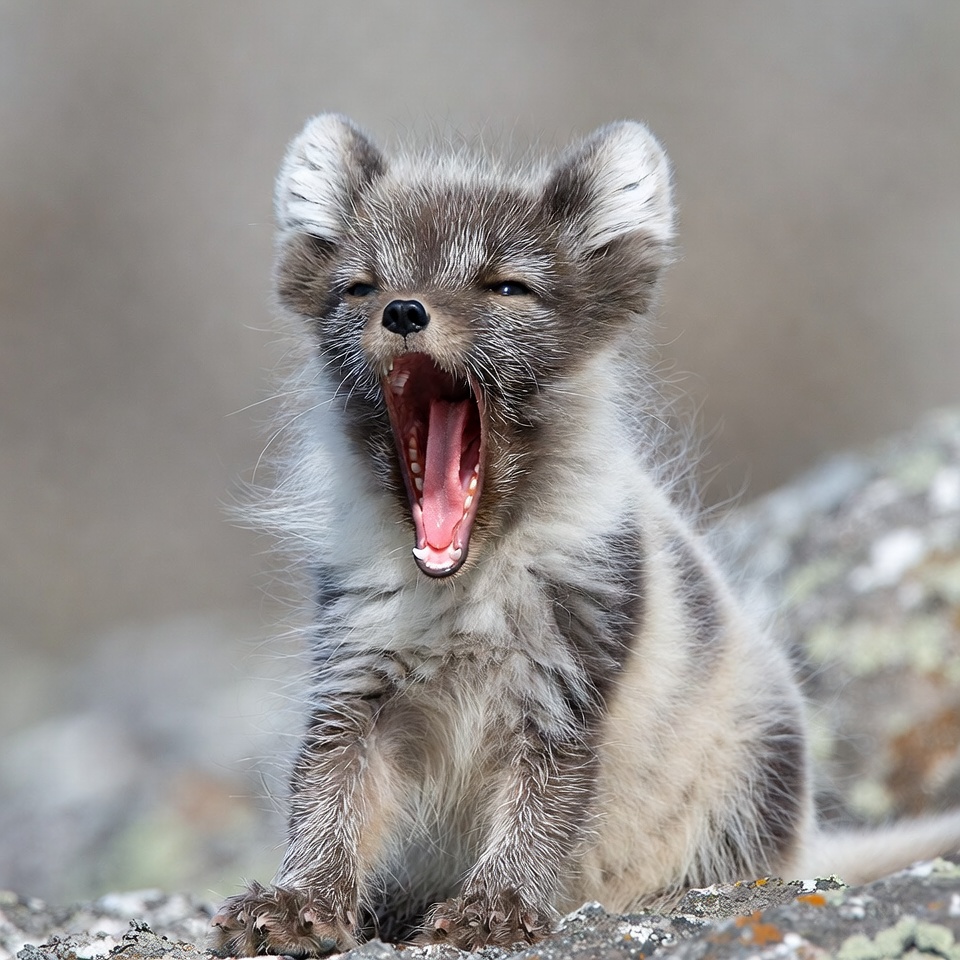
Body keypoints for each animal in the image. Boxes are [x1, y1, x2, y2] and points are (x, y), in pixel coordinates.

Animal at [212, 114, 960, 955]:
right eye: (361, 286)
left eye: (507, 286)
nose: (403, 311)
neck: (465, 595)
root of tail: (802, 844)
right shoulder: (354, 674)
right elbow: (325, 796)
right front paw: (296, 903)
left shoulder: (568, 686)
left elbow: (541, 816)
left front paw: (493, 910)